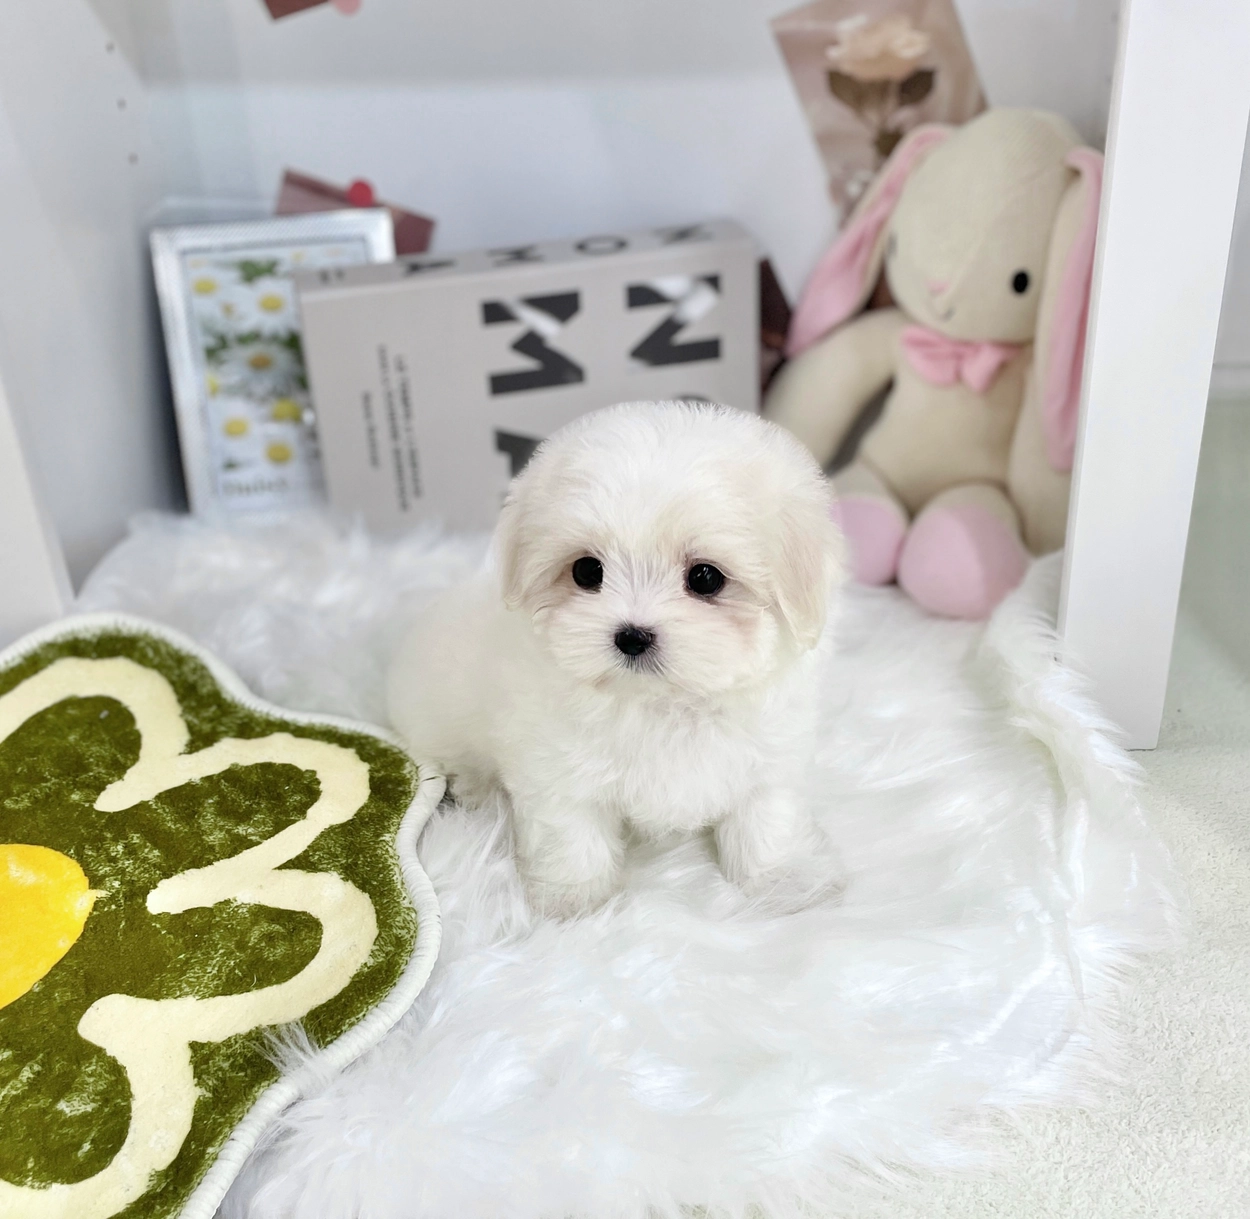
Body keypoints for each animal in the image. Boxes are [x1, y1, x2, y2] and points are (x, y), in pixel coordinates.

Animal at [387, 401, 844, 917]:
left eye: (705, 578)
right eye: (588, 571)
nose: (632, 636)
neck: (663, 703)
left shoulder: (768, 759)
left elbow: (768, 819)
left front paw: (782, 881)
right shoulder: (557, 768)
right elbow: (571, 832)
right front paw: (575, 900)